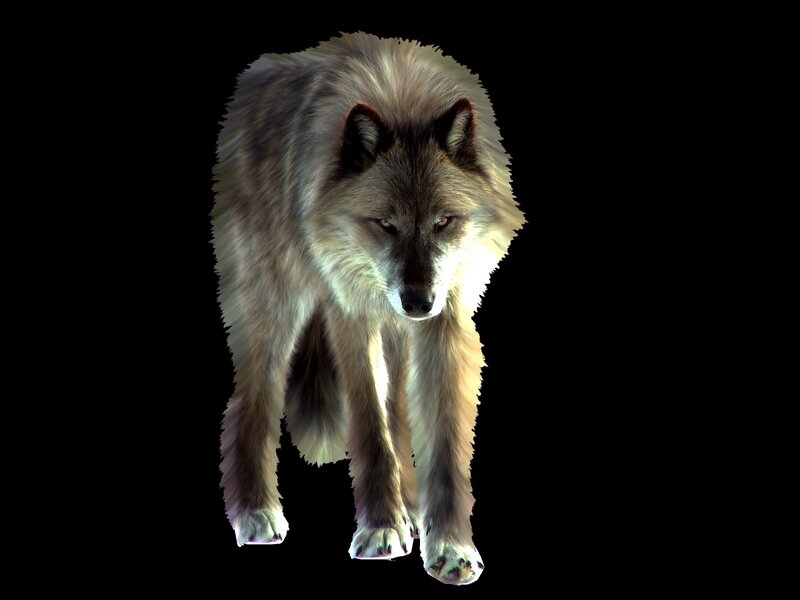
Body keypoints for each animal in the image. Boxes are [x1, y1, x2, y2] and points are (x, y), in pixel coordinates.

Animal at [212, 33, 524, 585]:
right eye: (385, 223)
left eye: (444, 221)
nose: (417, 301)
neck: (402, 98)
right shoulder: (351, 318)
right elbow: (370, 429)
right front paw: (381, 528)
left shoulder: (446, 323)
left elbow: (442, 442)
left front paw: (450, 547)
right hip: (277, 308)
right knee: (250, 406)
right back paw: (256, 513)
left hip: (395, 335)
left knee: (399, 410)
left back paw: (412, 509)